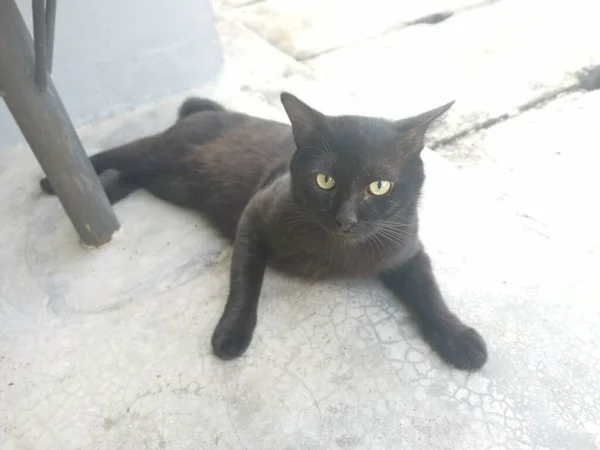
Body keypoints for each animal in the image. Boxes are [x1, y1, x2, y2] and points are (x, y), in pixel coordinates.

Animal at [39, 93, 488, 370]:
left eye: (379, 186)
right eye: (324, 180)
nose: (346, 219)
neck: (336, 249)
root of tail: (212, 109)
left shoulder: (407, 250)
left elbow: (429, 293)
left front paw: (459, 338)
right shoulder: (253, 217)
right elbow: (245, 282)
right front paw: (232, 333)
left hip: (169, 182)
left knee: (129, 175)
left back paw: (107, 193)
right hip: (161, 155)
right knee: (116, 155)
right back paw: (54, 183)